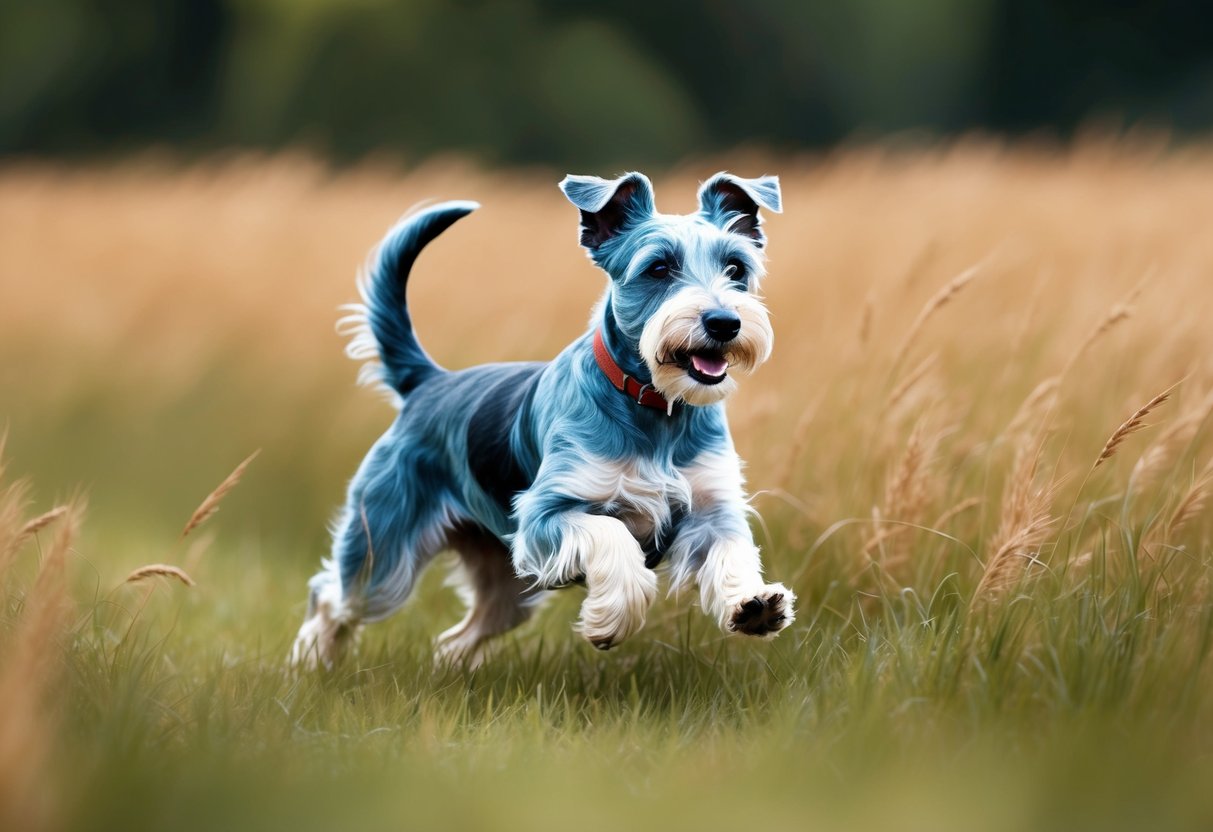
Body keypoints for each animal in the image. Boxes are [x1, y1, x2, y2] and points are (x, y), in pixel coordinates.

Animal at [292, 171, 795, 669]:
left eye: (736, 268)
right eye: (658, 268)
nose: (724, 322)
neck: (656, 407)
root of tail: (428, 382)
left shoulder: (711, 508)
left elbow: (732, 547)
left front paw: (753, 603)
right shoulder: (543, 513)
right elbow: (611, 532)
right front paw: (613, 616)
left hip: (506, 580)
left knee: (459, 635)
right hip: (383, 548)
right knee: (333, 598)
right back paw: (310, 663)